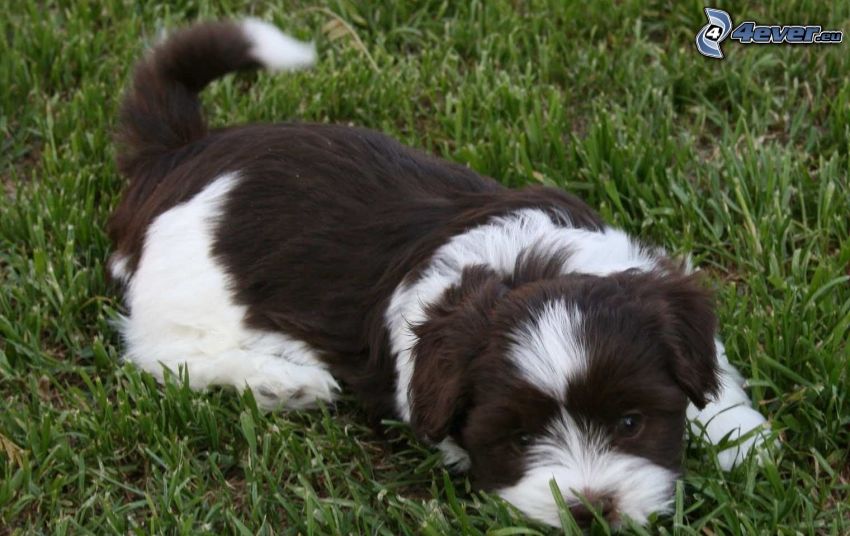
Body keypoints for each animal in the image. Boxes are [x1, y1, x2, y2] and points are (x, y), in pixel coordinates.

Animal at [107, 19, 768, 528]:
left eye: (631, 423)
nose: (589, 510)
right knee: (159, 355)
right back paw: (283, 382)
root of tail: (178, 154)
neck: (524, 263)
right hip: (183, 292)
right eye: (520, 440)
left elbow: (709, 368)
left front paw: (742, 440)